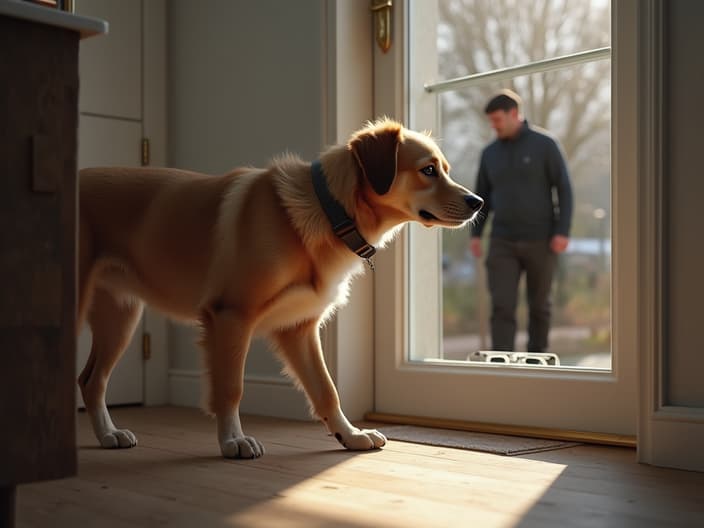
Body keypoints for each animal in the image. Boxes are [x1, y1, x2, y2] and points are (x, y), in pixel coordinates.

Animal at [78, 119, 484, 458]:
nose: (478, 202)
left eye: (444, 169)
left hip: (120, 318)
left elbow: (326, 390)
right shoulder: (231, 316)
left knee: (91, 381)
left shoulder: (299, 329)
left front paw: (350, 435)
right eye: (428, 170)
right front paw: (233, 440)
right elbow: (230, 387)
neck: (331, 211)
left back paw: (108, 435)